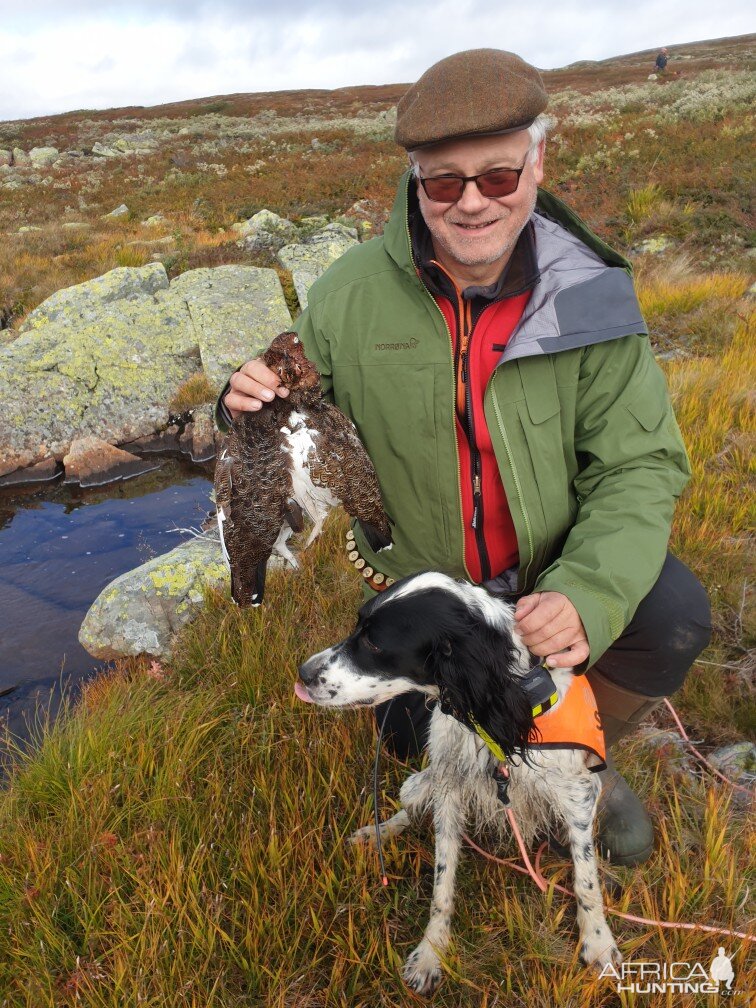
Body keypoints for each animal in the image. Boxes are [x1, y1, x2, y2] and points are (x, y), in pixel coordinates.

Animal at [296, 572, 620, 995]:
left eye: (374, 643)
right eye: (357, 625)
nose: (302, 673)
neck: (494, 711)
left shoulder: (578, 795)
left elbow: (586, 881)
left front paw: (598, 942)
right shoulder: (449, 788)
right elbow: (442, 883)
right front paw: (431, 952)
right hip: (421, 782)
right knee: (409, 810)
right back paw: (377, 833)